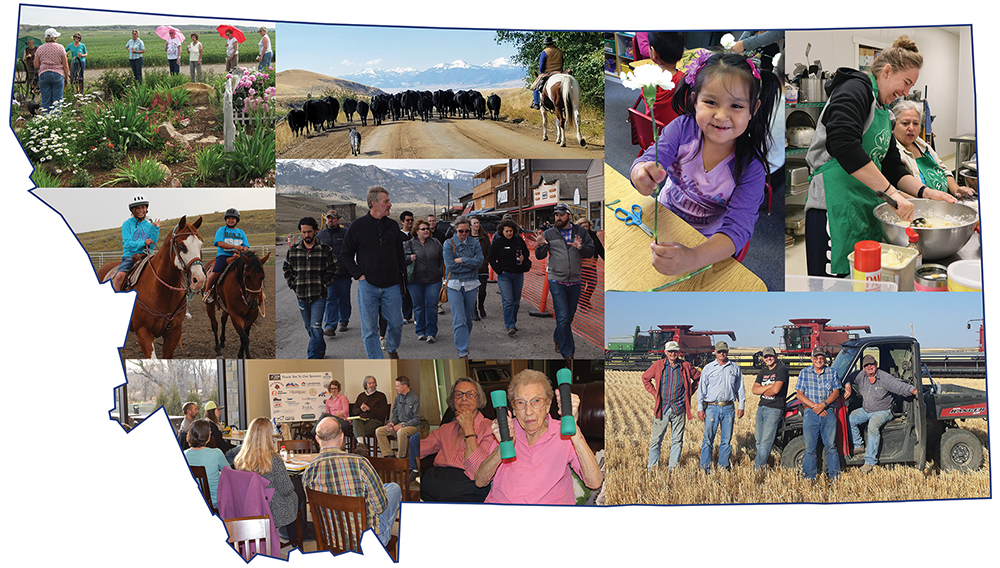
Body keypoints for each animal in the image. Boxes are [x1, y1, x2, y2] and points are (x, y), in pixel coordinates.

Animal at [97, 215, 207, 358]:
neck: (162, 293)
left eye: (200, 245)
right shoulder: (143, 332)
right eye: (182, 246)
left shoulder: (174, 332)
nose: (199, 280)